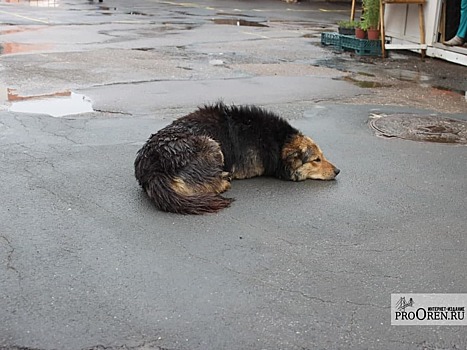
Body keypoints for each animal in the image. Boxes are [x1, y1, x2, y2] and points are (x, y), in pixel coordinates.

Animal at [135, 102, 340, 215]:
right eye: (316, 160)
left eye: (322, 156)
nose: (338, 171)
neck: (278, 141)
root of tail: (152, 166)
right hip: (211, 145)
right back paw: (223, 180)